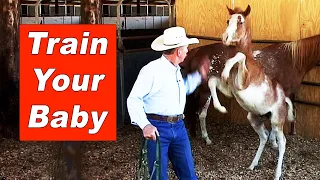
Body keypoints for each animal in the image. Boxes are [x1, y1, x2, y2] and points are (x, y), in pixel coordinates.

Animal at [221, 4, 294, 179]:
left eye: (240, 21)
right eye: (228, 20)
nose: (225, 37)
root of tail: (284, 99)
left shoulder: (243, 83)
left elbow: (239, 55)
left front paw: (225, 72)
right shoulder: (231, 90)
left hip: (277, 121)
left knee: (282, 142)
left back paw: (277, 174)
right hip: (254, 118)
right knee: (264, 137)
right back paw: (252, 165)